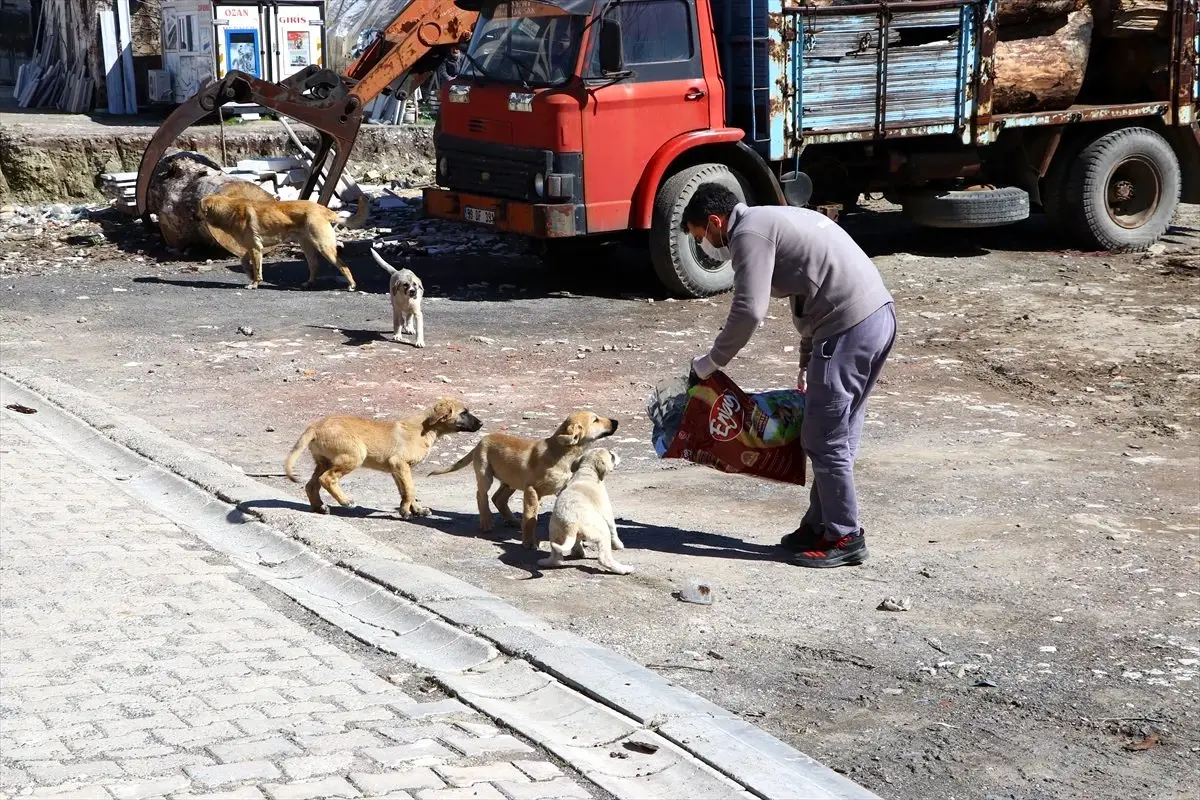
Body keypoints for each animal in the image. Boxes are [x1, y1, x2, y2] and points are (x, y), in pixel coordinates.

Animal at [199, 190, 367, 291]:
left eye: (199, 208)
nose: (194, 216)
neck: (230, 210)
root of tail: (325, 210)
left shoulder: (255, 248)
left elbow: (257, 269)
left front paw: (255, 283)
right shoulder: (254, 248)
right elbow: (244, 262)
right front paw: (250, 275)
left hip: (324, 247)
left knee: (343, 266)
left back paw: (351, 285)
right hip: (307, 246)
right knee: (315, 265)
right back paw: (309, 283)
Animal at [285, 398, 482, 520]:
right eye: (464, 412)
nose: (482, 423)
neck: (427, 428)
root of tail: (315, 427)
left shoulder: (397, 470)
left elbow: (407, 491)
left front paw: (416, 510)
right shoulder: (400, 464)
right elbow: (410, 489)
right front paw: (405, 511)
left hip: (324, 461)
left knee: (311, 485)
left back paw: (320, 507)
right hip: (355, 455)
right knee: (327, 479)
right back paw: (346, 502)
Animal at [429, 412, 619, 551]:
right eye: (595, 419)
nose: (616, 422)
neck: (561, 452)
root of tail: (481, 441)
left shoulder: (561, 489)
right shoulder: (531, 490)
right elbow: (530, 518)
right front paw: (529, 542)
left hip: (511, 481)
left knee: (498, 498)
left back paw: (512, 520)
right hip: (485, 475)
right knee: (481, 495)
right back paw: (487, 522)